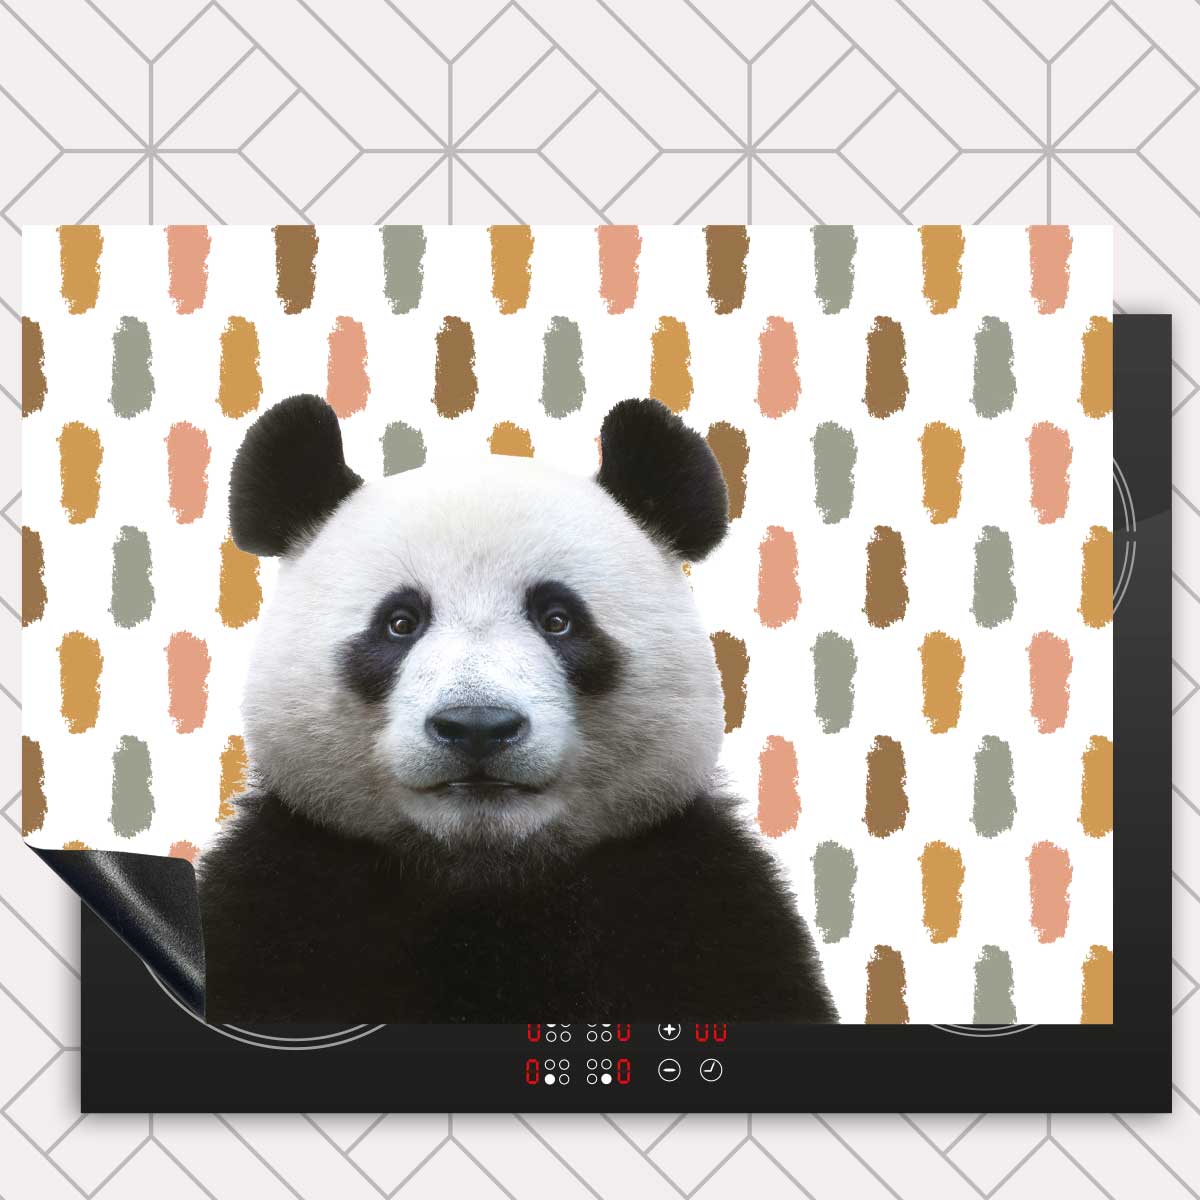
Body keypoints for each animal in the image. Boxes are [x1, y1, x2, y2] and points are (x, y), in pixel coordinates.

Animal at [198, 394, 838, 1024]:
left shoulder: (698, 904)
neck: (487, 877)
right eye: (400, 622)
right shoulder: (282, 898)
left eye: (558, 619)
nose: (477, 727)